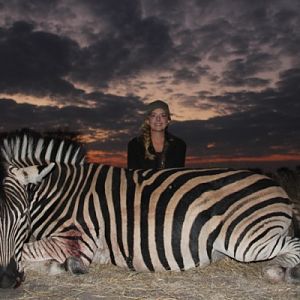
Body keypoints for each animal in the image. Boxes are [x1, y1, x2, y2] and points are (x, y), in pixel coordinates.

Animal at [0, 129, 298, 288]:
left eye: (21, 217)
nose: (7, 279)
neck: (60, 193)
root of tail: (276, 186)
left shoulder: (76, 241)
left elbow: (28, 251)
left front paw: (59, 266)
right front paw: (56, 266)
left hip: (245, 240)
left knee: (292, 246)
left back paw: (286, 272)